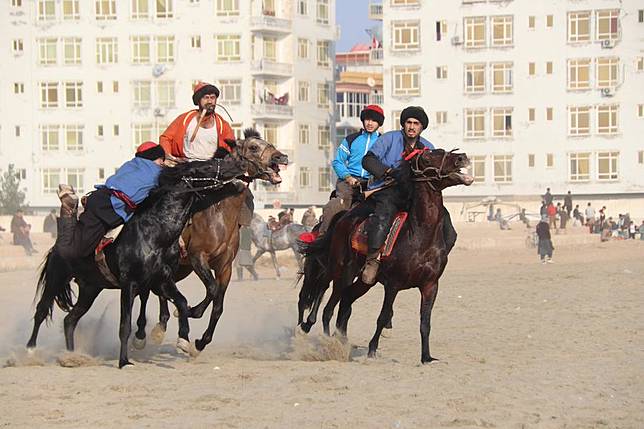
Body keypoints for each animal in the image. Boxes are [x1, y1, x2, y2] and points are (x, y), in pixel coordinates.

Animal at [25, 143, 272, 364]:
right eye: (206, 167)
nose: (240, 166)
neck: (154, 232)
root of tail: (58, 244)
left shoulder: (163, 279)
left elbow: (183, 302)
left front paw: (184, 339)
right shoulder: (131, 283)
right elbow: (125, 325)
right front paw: (124, 360)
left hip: (90, 288)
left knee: (70, 320)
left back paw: (71, 355)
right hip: (57, 278)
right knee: (41, 311)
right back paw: (30, 351)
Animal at [296, 149, 472, 362]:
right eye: (427, 157)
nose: (462, 157)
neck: (419, 235)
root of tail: (343, 219)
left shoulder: (430, 285)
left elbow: (425, 323)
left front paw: (427, 357)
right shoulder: (393, 284)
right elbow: (383, 316)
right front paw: (372, 350)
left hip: (365, 281)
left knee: (345, 300)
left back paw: (340, 340)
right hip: (341, 271)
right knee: (326, 304)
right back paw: (323, 338)